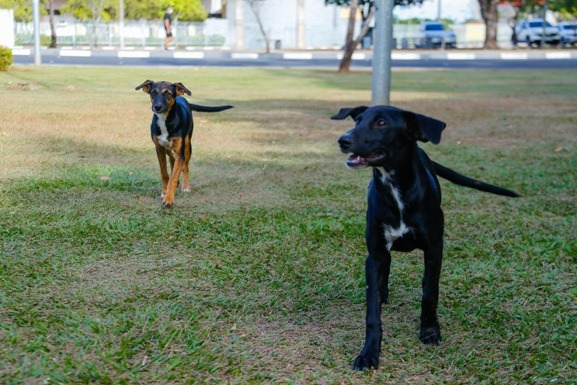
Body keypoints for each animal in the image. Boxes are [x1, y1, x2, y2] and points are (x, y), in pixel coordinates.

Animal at [135, 79, 232, 208]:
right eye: (153, 92)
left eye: (168, 93)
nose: (157, 107)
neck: (165, 120)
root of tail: (184, 99)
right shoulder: (159, 149)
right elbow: (164, 173)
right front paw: (164, 191)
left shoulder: (180, 151)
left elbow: (174, 176)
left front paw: (168, 199)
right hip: (169, 149)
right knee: (172, 160)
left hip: (187, 146)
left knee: (185, 166)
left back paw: (185, 187)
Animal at [330, 104, 520, 368]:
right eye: (357, 120)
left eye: (381, 123)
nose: (343, 140)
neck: (395, 187)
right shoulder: (375, 253)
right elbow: (372, 310)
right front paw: (369, 352)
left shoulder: (434, 248)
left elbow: (430, 292)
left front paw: (429, 331)